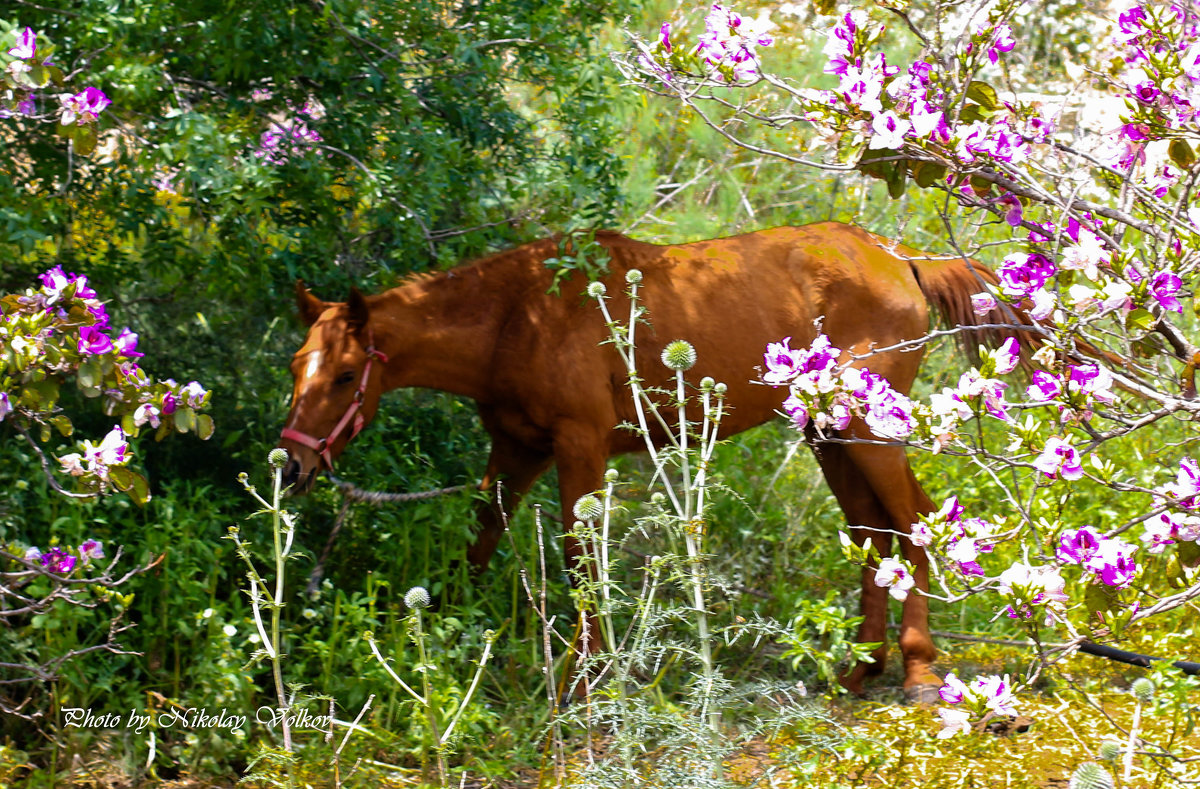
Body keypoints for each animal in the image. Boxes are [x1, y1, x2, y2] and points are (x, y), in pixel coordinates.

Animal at [274, 219, 1012, 695]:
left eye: (345, 375)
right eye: (295, 365)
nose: (292, 465)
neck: (515, 318)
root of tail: (901, 257)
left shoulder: (578, 446)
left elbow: (582, 557)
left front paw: (583, 677)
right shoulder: (517, 448)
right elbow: (481, 535)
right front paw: (443, 633)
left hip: (868, 431)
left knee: (912, 521)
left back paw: (916, 668)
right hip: (828, 436)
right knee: (872, 530)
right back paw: (861, 666)